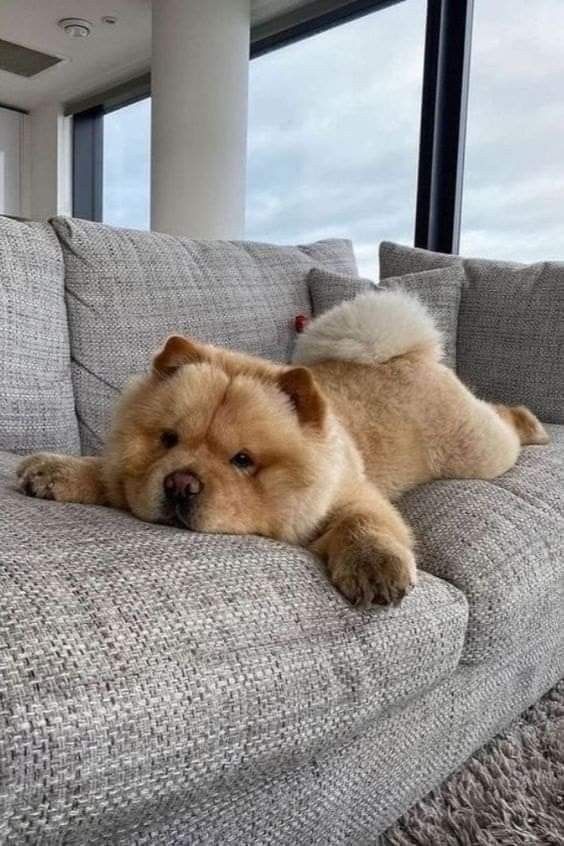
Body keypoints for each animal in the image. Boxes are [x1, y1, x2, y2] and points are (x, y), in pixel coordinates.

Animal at [16, 294, 548, 608]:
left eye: (243, 460)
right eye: (167, 440)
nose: (180, 483)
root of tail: (404, 355)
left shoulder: (354, 497)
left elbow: (365, 523)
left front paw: (376, 570)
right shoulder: (131, 475)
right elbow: (108, 474)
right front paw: (52, 471)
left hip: (478, 449)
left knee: (503, 419)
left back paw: (534, 424)